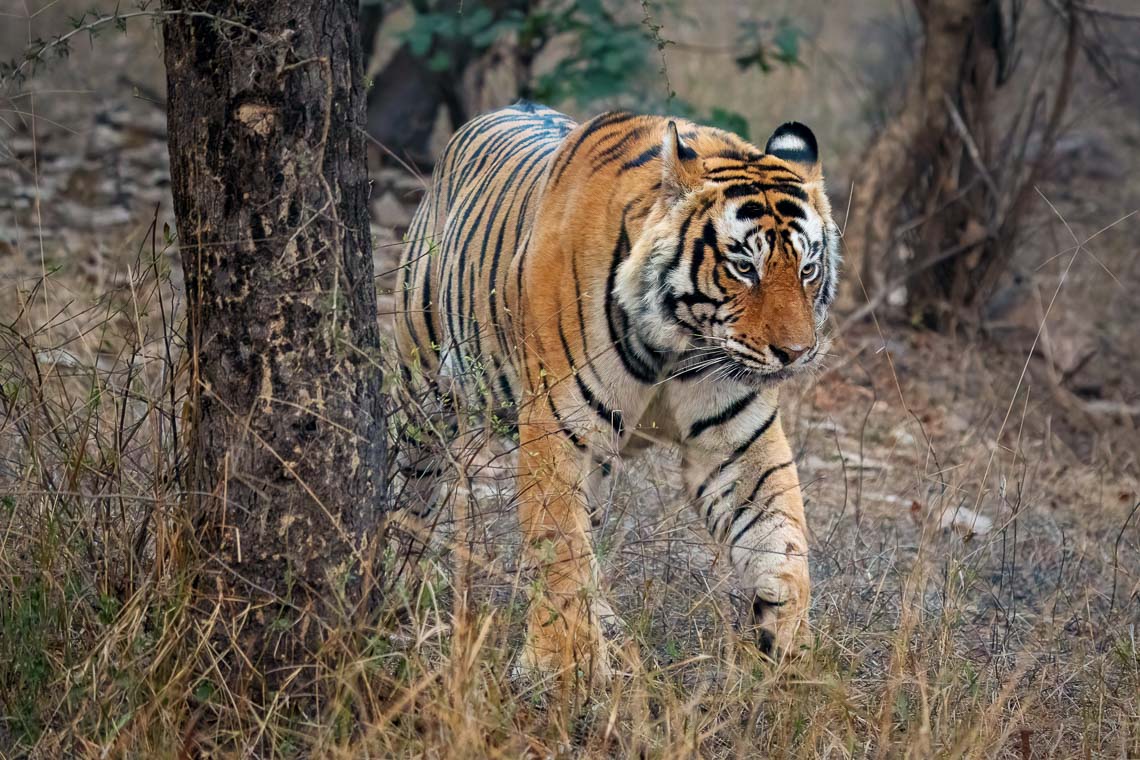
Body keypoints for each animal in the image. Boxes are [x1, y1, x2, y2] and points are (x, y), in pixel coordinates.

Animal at [396, 102, 843, 683]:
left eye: (808, 268)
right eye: (745, 267)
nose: (796, 352)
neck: (679, 343)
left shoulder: (738, 441)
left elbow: (780, 538)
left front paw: (790, 644)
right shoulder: (557, 423)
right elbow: (558, 545)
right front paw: (563, 668)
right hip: (424, 385)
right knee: (413, 487)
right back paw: (393, 577)